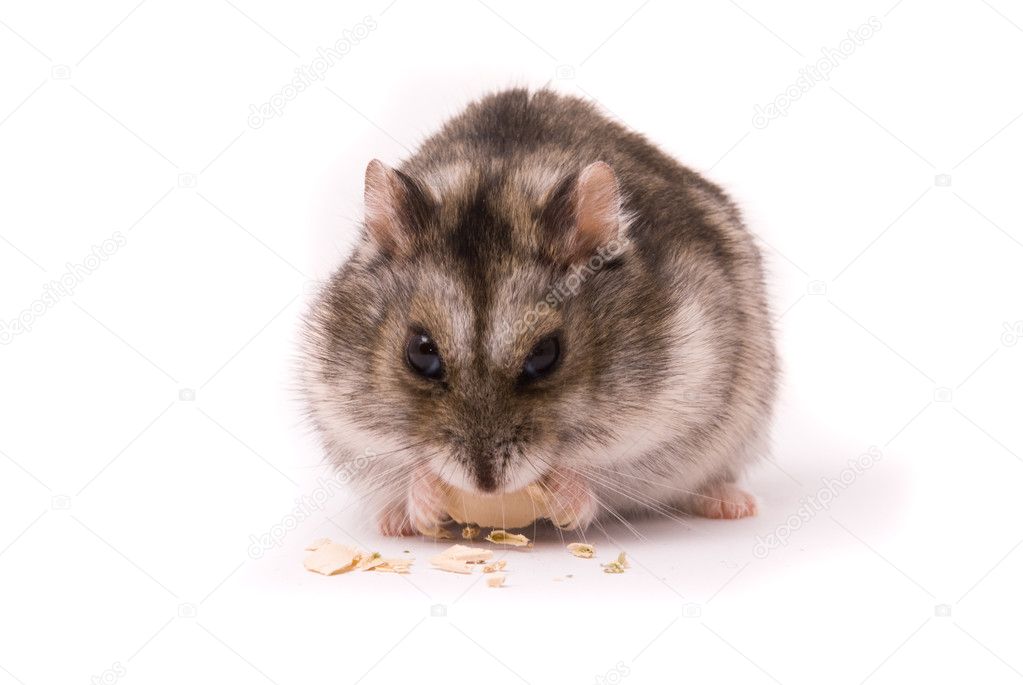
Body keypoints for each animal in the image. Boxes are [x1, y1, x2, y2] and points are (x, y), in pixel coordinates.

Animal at [300, 88, 778, 536]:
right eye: (420, 353)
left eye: (546, 355)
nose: (486, 485)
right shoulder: (343, 423)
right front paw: (421, 499)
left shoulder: (674, 421)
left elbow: (604, 480)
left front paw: (567, 491)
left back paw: (732, 504)